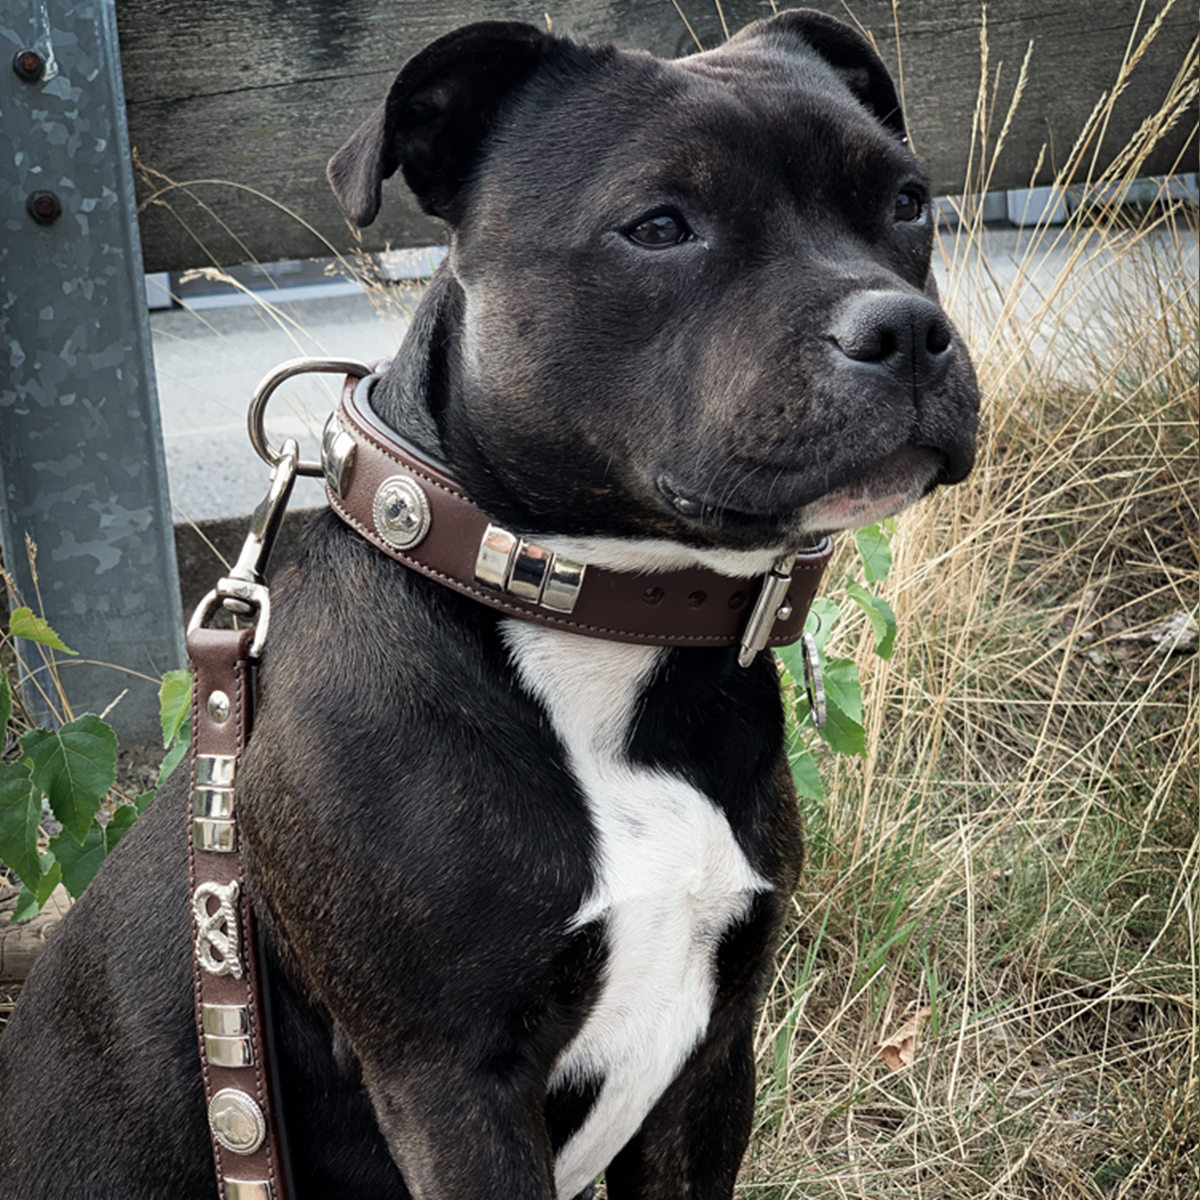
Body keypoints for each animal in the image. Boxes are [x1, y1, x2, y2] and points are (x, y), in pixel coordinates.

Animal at [0, 11, 974, 1200]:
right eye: (659, 226)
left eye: (908, 201)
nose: (907, 330)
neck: (596, 624)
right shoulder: (452, 1086)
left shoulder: (710, 1063)